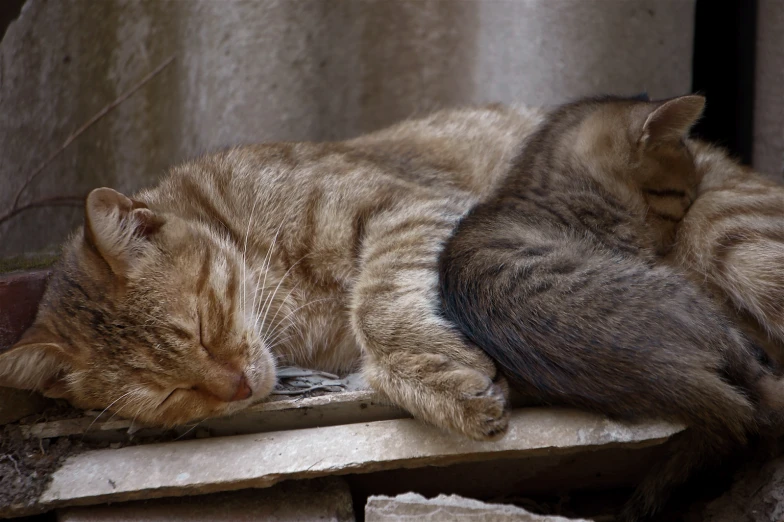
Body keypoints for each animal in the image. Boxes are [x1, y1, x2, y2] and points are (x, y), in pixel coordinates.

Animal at [438, 95, 784, 516]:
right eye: (681, 198)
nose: (669, 245)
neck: (543, 178)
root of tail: (658, 371)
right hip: (693, 303)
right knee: (760, 384)